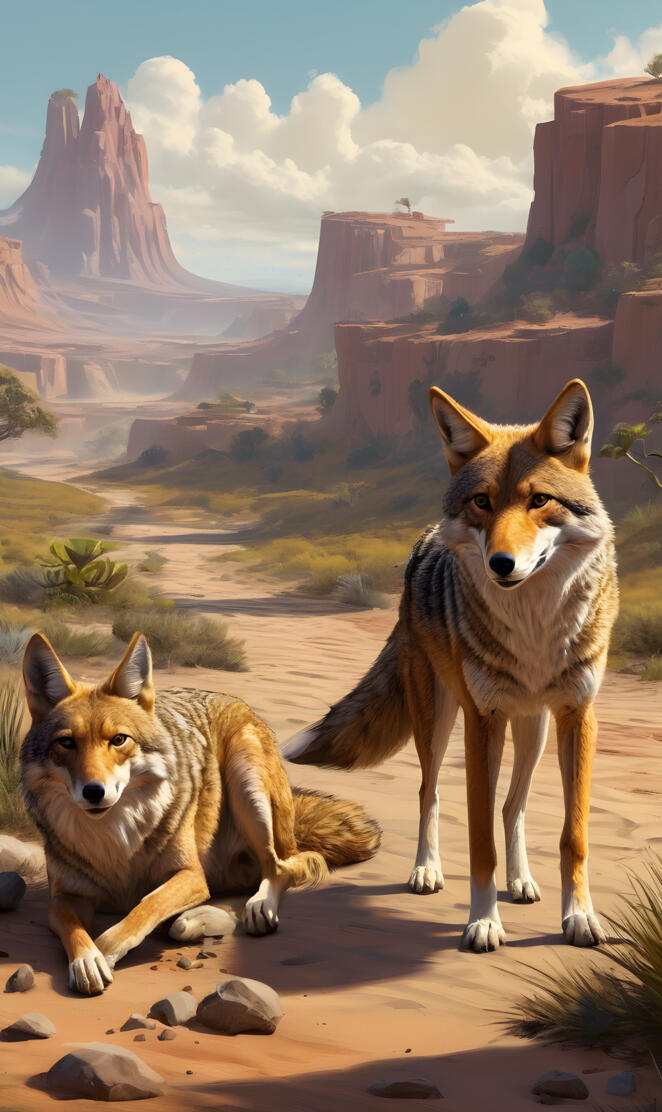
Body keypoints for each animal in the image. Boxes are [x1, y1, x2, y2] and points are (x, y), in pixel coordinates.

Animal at [20, 631, 381, 995]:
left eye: (119, 740)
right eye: (67, 743)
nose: (94, 792)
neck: (113, 840)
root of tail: (236, 702)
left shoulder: (190, 875)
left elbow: (143, 908)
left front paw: (104, 953)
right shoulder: (65, 896)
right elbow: (74, 929)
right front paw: (87, 959)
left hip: (246, 781)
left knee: (286, 867)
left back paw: (255, 908)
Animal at [284, 378, 618, 953]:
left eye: (539, 500)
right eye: (482, 502)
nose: (501, 564)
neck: (534, 629)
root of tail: (425, 540)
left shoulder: (578, 716)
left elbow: (571, 835)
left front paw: (578, 917)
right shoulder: (482, 722)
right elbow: (479, 840)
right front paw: (482, 923)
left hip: (534, 728)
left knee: (514, 806)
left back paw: (522, 882)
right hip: (438, 720)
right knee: (430, 791)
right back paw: (427, 871)